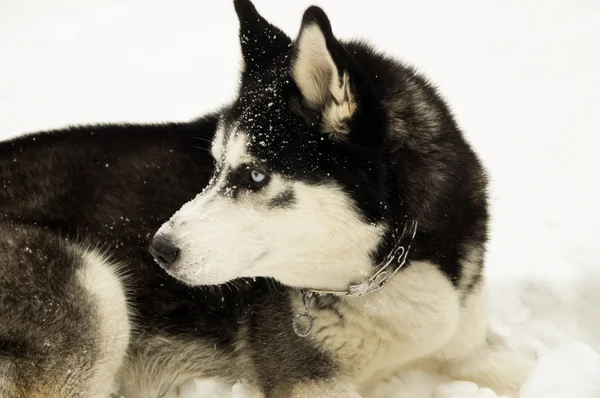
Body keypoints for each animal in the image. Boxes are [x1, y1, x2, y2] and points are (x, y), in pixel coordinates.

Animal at [1, 0, 536, 398]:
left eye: (254, 174)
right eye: (215, 165)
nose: (158, 250)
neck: (390, 266)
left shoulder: (467, 346)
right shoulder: (306, 378)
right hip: (95, 293)